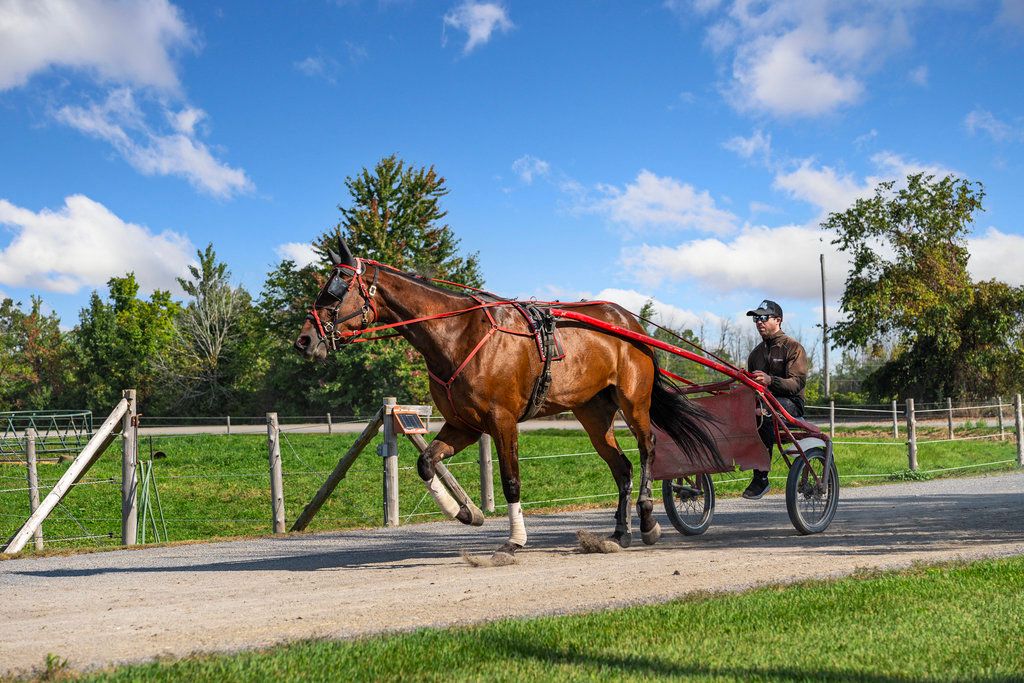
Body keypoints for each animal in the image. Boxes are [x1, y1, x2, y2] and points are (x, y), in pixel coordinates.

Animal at [294, 239, 719, 564]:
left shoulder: (502, 420)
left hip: (633, 402)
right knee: (622, 467)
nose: (304, 340)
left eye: (335, 289)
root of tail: (628, 322)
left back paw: (647, 521)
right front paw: (466, 512)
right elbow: (425, 461)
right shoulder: (464, 424)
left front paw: (513, 541)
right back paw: (619, 532)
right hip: (593, 413)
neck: (457, 334)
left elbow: (511, 480)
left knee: (647, 449)